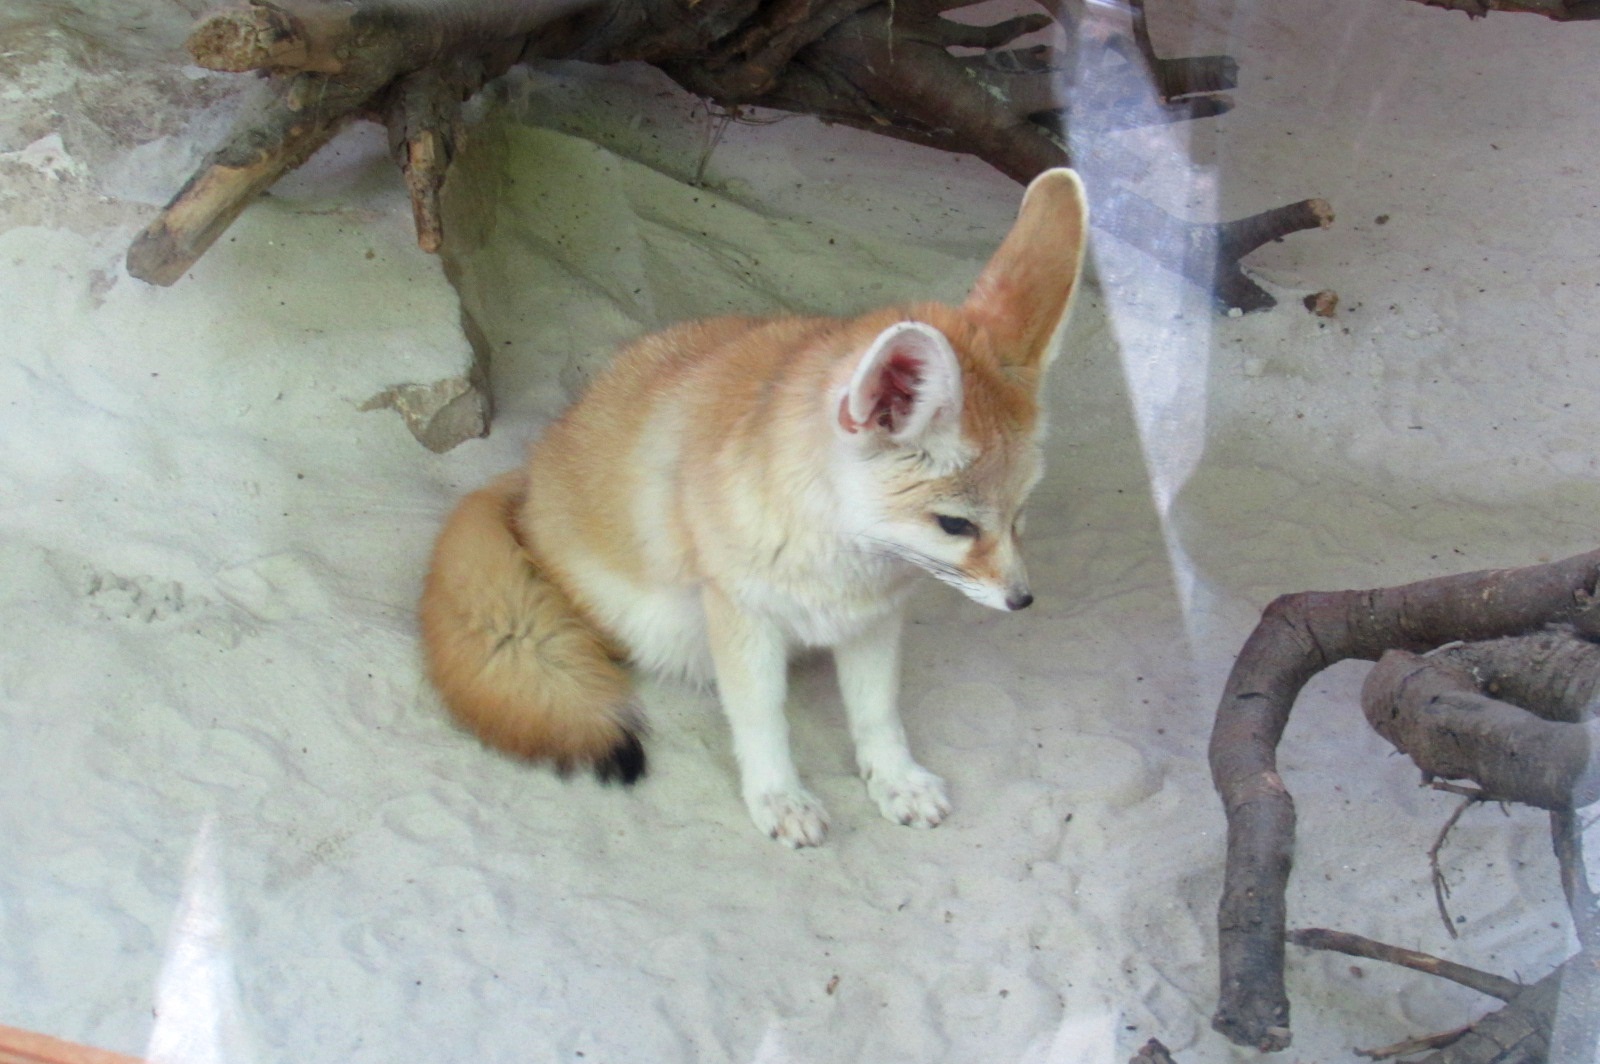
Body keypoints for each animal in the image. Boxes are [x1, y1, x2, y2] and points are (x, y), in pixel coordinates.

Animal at [419, 167, 1089, 847]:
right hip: (648, 619)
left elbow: (878, 712)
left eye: (1021, 513)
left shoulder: (873, 620)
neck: (836, 557)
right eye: (955, 524)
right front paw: (779, 795)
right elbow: (762, 718)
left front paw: (895, 778)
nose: (1022, 600)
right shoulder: (741, 615)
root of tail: (535, 465)